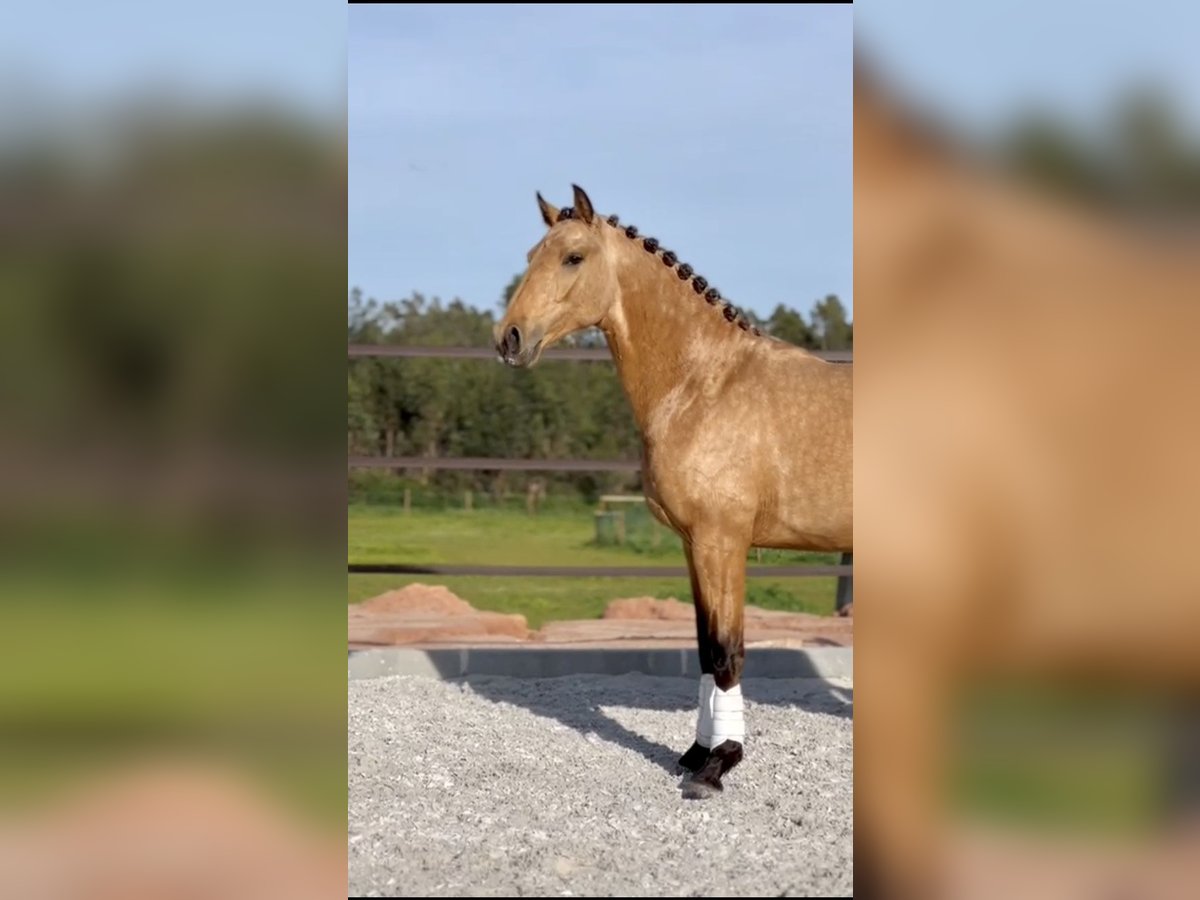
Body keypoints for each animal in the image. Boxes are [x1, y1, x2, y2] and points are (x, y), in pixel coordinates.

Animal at [494, 187, 854, 801]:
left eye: (573, 257)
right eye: (530, 255)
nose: (509, 339)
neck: (704, 383)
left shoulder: (721, 542)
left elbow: (726, 651)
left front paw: (717, 767)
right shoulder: (692, 546)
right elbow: (704, 649)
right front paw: (697, 753)